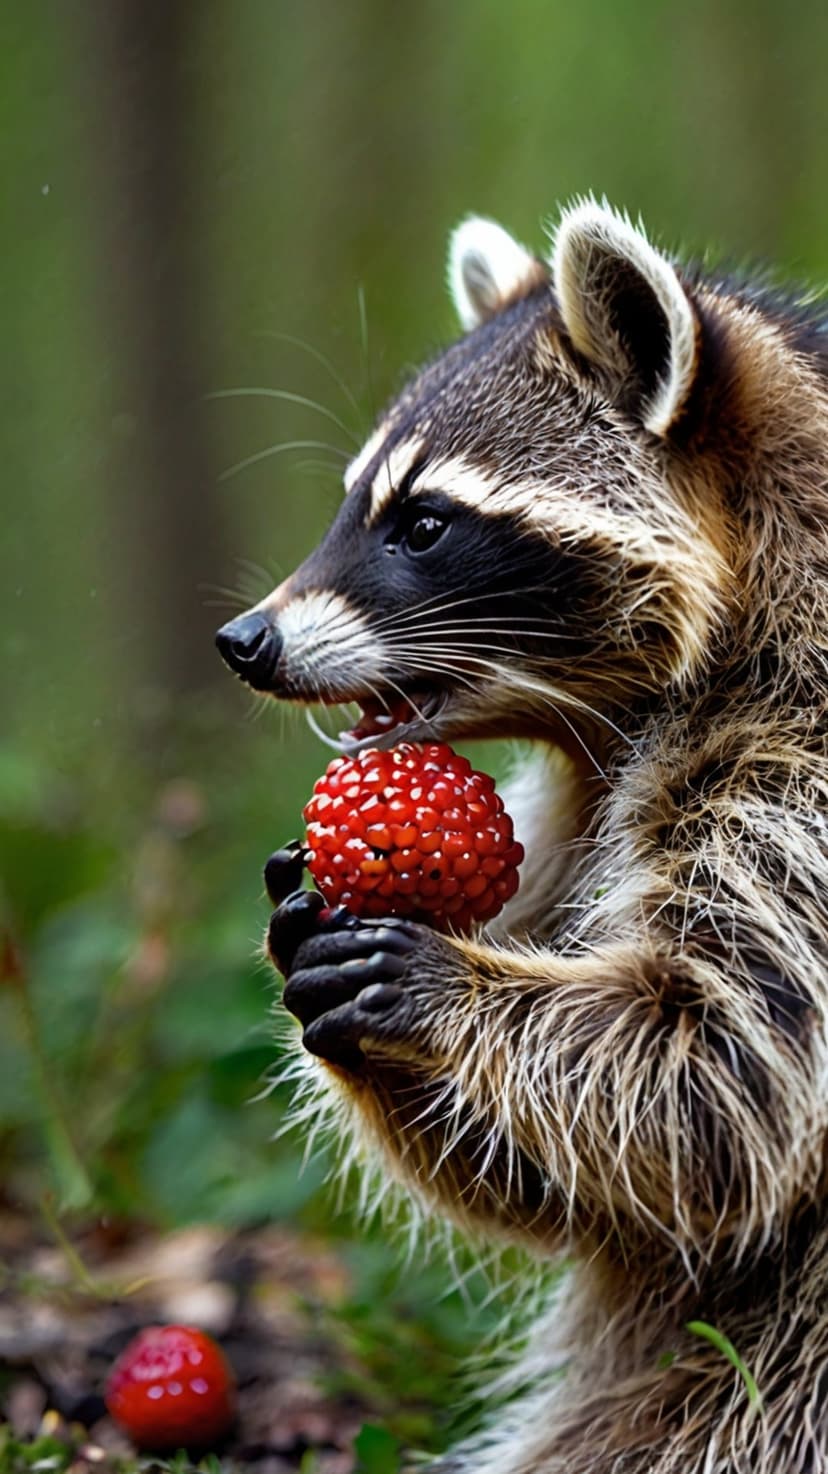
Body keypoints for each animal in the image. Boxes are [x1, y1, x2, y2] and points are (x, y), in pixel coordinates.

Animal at [216, 201, 828, 1472]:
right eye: (354, 504)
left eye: (423, 523)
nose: (244, 640)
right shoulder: (578, 803)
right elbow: (604, 1183)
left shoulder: (799, 766)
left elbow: (717, 1083)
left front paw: (440, 985)